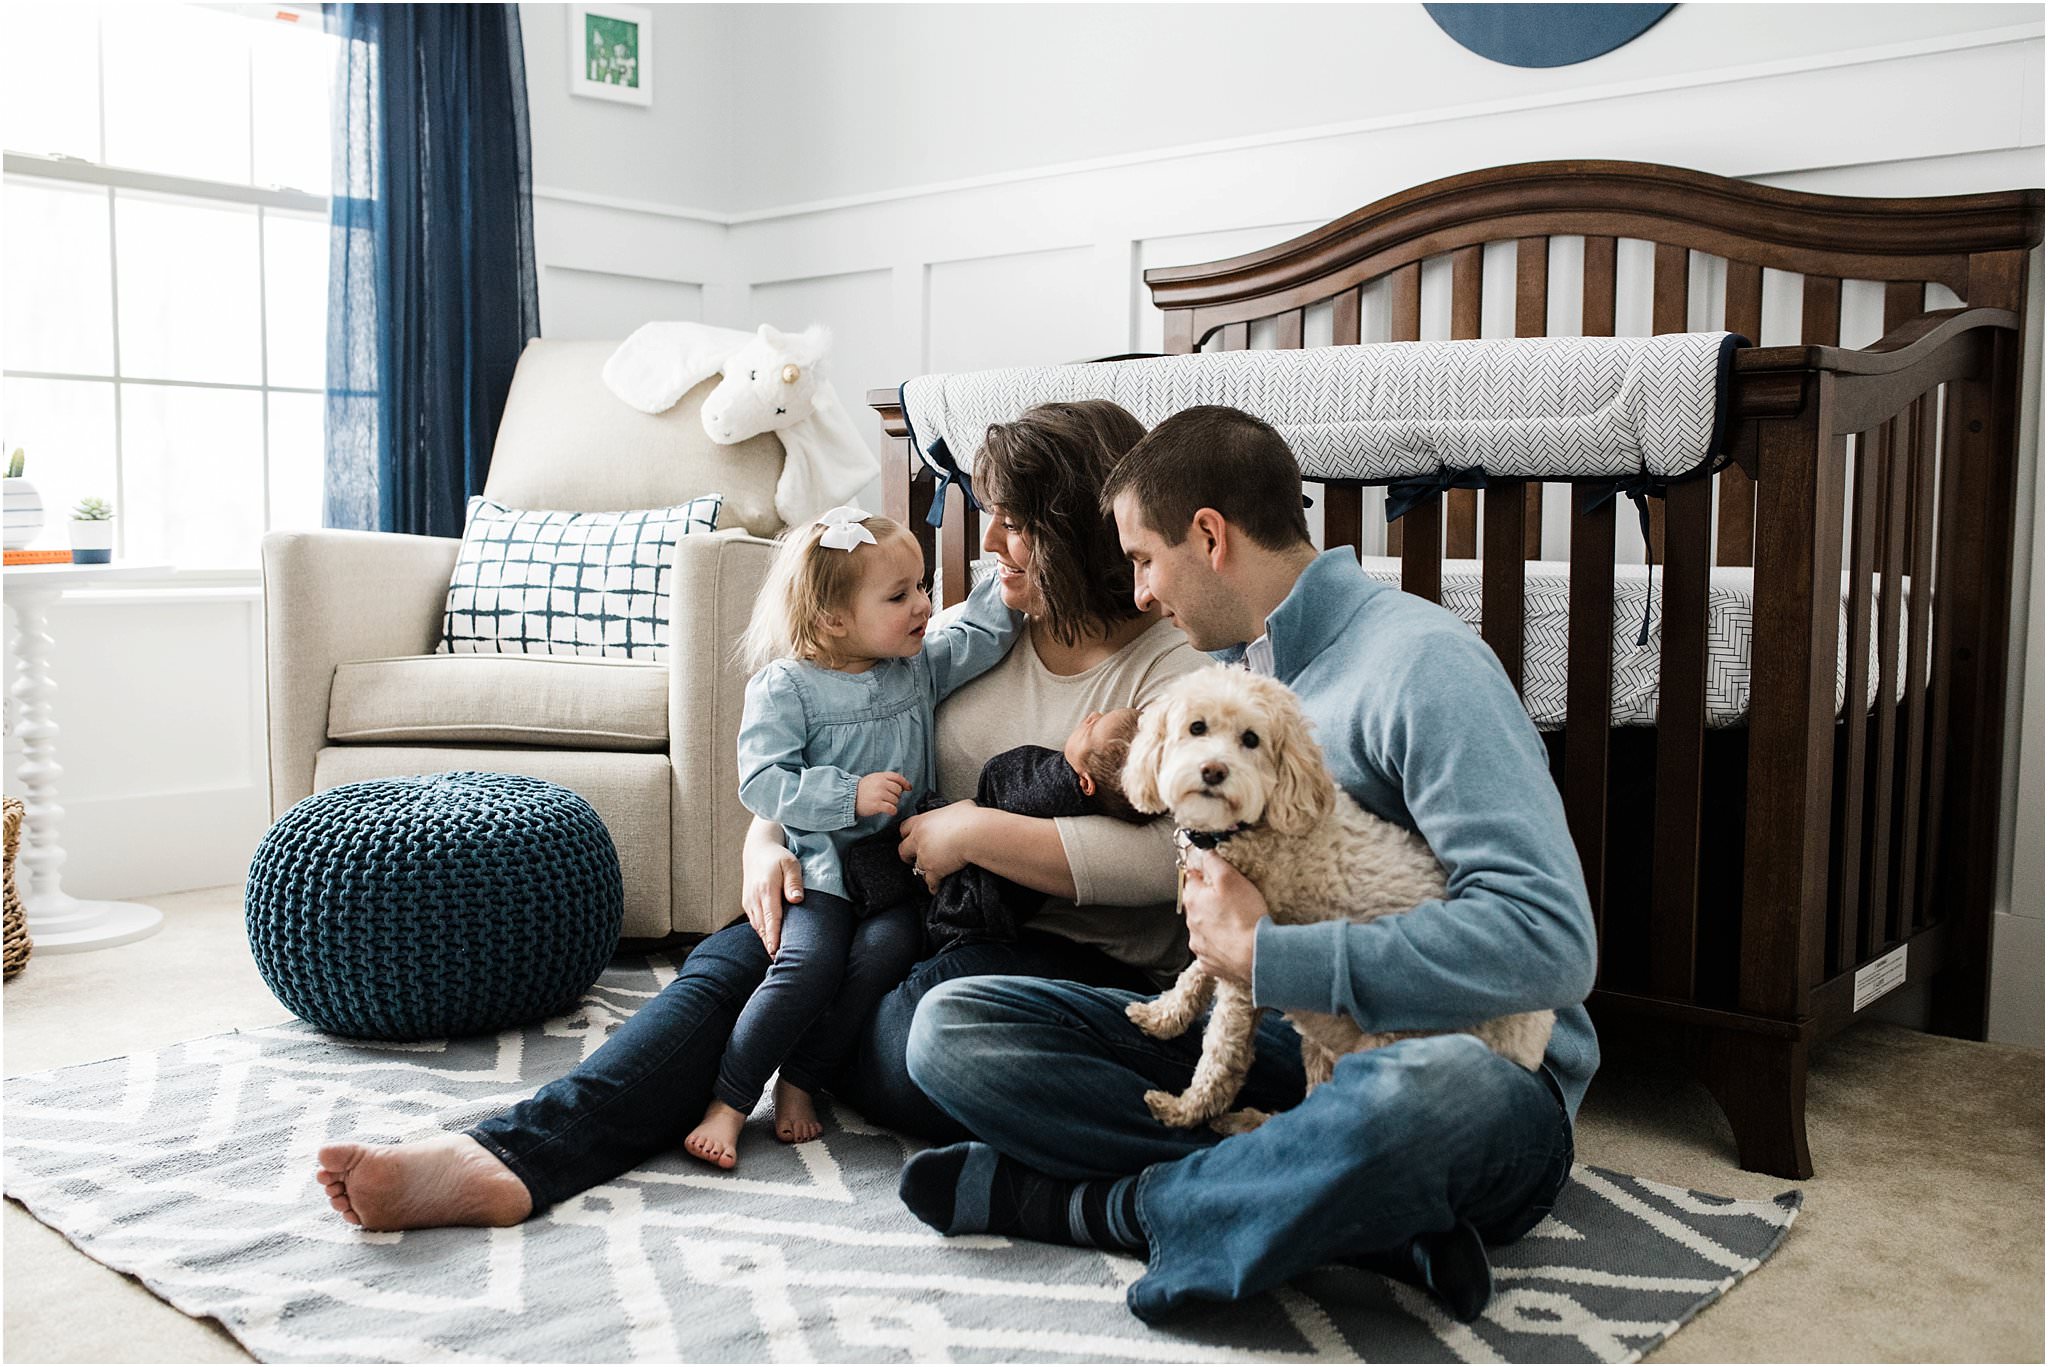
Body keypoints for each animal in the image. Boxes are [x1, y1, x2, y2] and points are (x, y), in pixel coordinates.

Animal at [1122, 672, 1548, 1131]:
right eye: (1197, 727)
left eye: (1251, 739)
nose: (1214, 770)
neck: (1246, 830)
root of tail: (1534, 1035)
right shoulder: (1215, 931)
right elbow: (1194, 973)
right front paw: (1164, 1017)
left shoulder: (1241, 967)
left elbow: (1221, 1055)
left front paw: (1185, 1110)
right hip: (1321, 1037)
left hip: (1387, 1037)